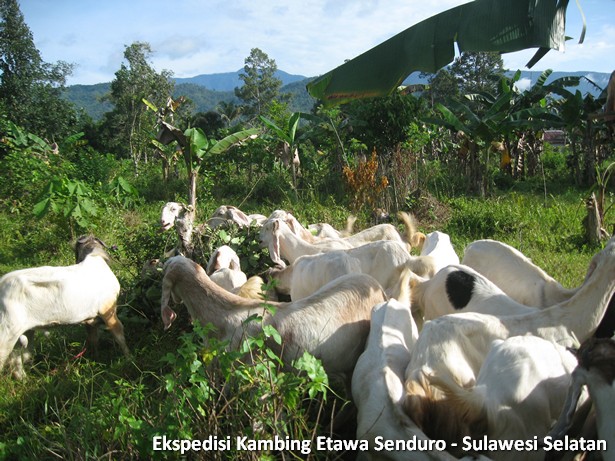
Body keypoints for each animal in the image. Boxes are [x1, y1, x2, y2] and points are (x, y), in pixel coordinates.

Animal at [0, 235, 130, 376]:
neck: (94, 258)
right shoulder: (107, 309)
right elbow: (119, 334)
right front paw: (129, 357)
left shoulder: (90, 320)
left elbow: (93, 339)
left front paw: (96, 358)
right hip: (7, 329)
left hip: (23, 332)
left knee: (16, 359)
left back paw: (23, 378)